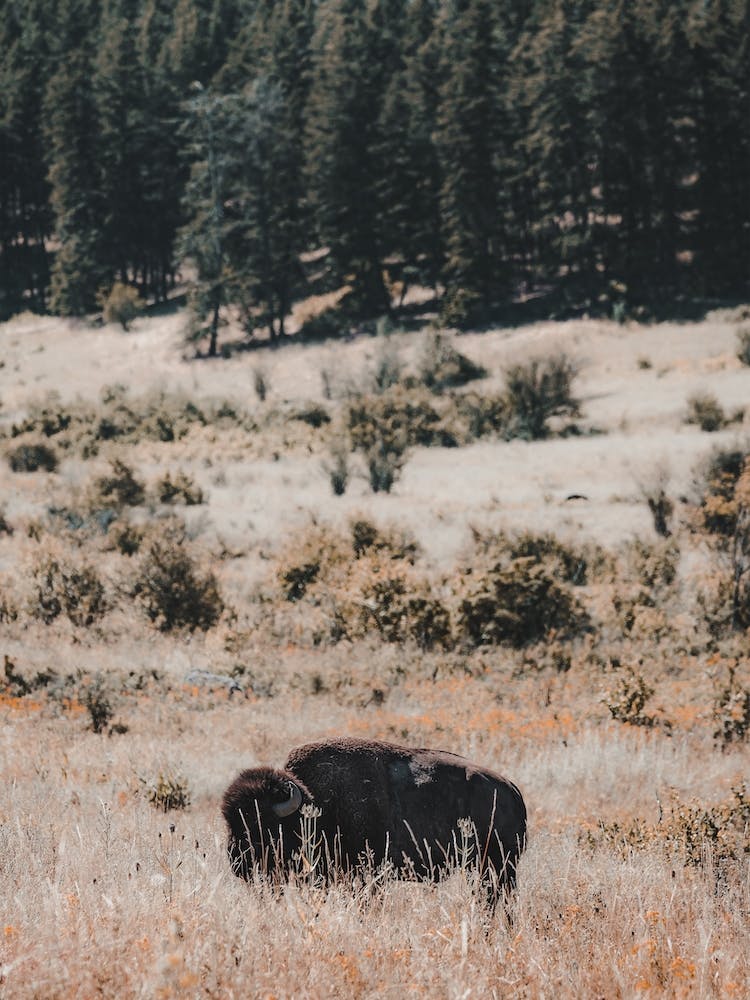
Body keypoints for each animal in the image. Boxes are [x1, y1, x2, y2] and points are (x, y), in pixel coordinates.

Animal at [221, 737, 526, 908]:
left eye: (262, 825)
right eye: (229, 822)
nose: (238, 864)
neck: (316, 803)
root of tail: (511, 790)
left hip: (498, 867)